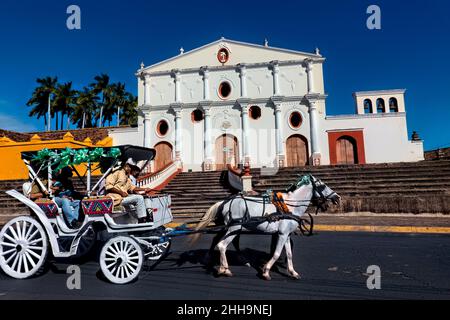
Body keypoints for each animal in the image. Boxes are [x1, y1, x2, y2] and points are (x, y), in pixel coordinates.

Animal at [193, 175, 342, 280]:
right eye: (322, 185)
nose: (337, 197)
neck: (291, 206)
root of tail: (226, 201)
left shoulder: (286, 234)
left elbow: (289, 254)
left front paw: (293, 272)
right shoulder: (282, 234)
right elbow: (276, 253)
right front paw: (265, 271)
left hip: (232, 229)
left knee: (222, 241)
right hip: (234, 228)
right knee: (222, 245)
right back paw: (224, 269)